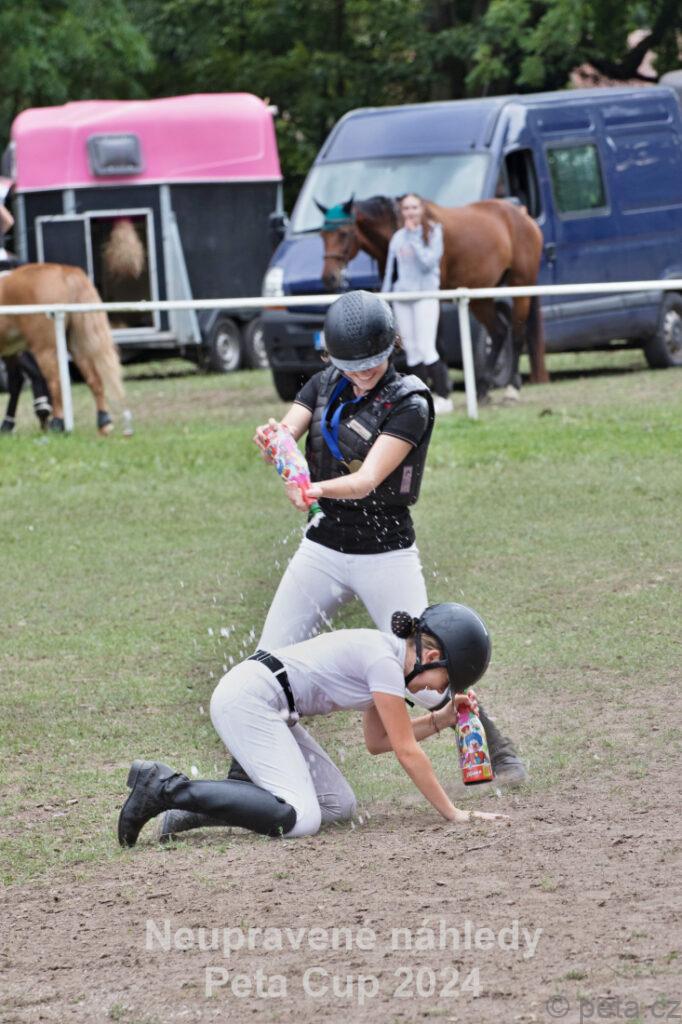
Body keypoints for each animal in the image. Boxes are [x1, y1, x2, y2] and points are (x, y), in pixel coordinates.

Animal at [0, 263, 125, 434]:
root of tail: (65, 272)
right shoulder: (13, 351)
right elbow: (16, 382)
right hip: (76, 346)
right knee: (94, 379)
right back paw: (103, 422)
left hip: (45, 349)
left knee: (55, 382)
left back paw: (57, 422)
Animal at [317, 196, 549, 393]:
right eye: (322, 235)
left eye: (343, 233)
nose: (329, 278)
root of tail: (524, 216)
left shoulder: (432, 297)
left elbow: (437, 345)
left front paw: (442, 389)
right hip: (481, 297)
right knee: (499, 332)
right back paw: (483, 388)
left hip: (520, 284)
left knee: (517, 332)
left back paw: (511, 386)